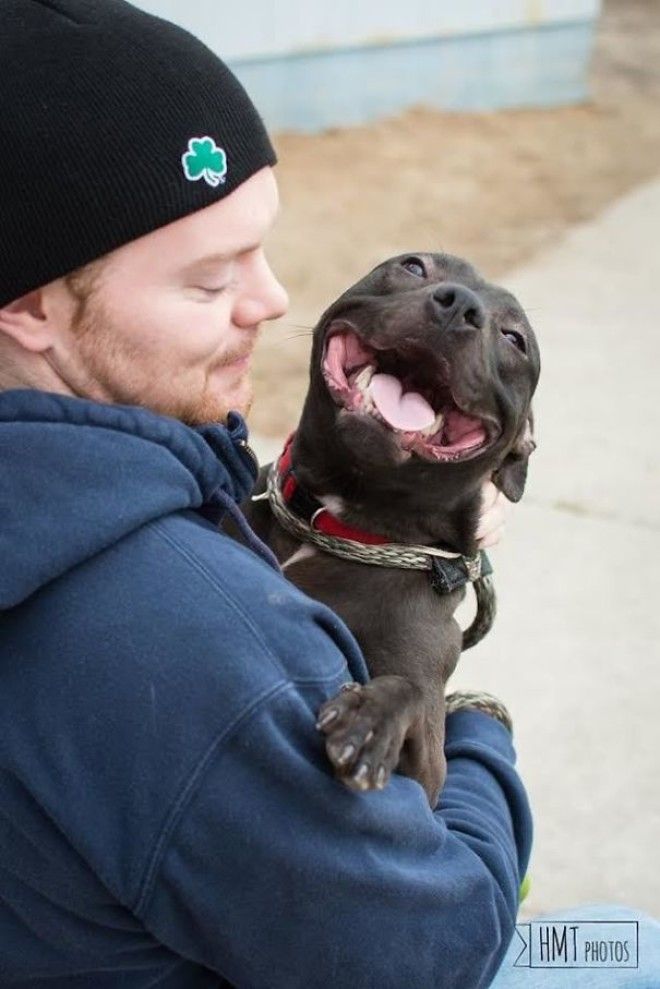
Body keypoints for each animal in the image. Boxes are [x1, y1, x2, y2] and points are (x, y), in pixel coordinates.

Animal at [240, 251, 540, 808]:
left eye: (515, 339)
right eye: (415, 266)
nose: (459, 306)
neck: (335, 521)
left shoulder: (429, 776)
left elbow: (409, 690)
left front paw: (370, 721)